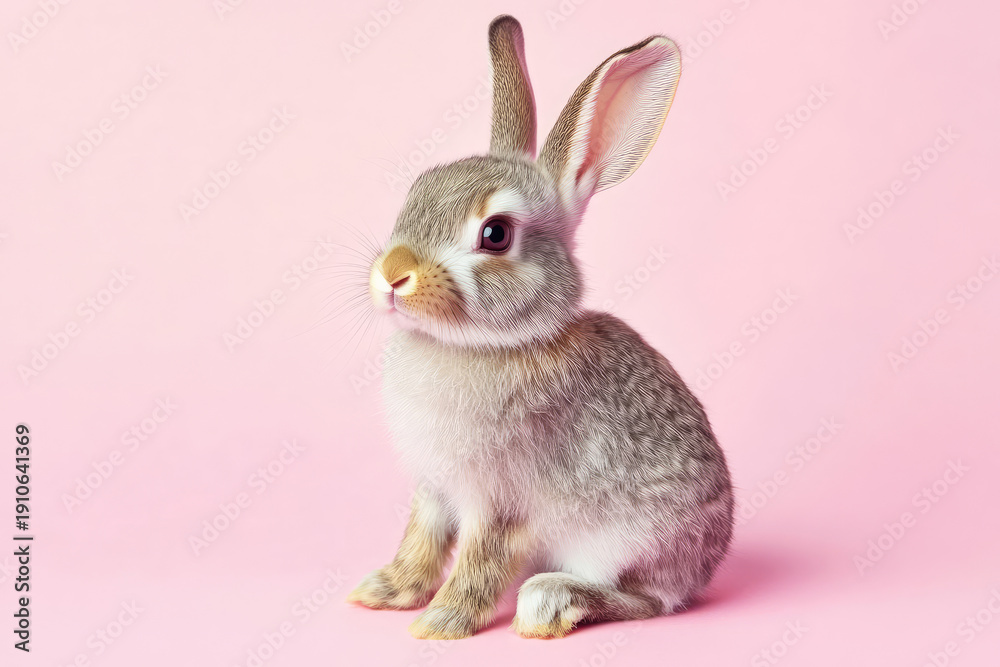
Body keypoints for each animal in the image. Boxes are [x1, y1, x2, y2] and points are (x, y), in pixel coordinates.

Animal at [346, 14, 734, 640]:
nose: (393, 274)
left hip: (627, 543)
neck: (484, 345)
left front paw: (441, 623)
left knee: (647, 602)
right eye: (418, 191)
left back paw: (551, 602)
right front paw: (384, 592)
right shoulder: (434, 490)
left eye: (496, 235)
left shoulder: (503, 503)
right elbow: (421, 542)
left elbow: (480, 560)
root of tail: (706, 564)